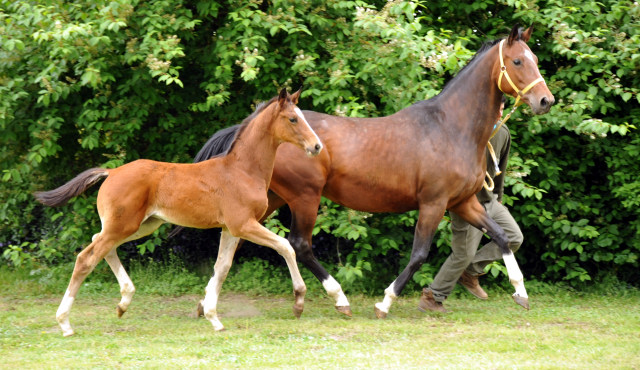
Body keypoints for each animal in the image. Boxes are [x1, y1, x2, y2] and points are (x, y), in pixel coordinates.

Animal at [33, 89, 322, 336]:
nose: (317, 146)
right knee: (86, 258)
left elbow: (222, 267)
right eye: (293, 119)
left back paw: (123, 302)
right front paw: (298, 301)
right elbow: (285, 246)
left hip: (140, 225)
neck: (242, 170)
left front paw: (213, 318)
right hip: (123, 226)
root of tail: (111, 172)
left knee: (99, 244)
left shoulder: (230, 229)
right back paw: (65, 323)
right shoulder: (243, 224)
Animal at [194, 24, 556, 316]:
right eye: (518, 61)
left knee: (236, 238)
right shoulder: (433, 204)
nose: (545, 101)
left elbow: (502, 238)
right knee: (299, 244)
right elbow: (419, 254)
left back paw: (205, 303)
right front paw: (385, 303)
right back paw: (338, 298)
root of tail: (259, 126)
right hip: (304, 197)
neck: (451, 127)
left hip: (272, 198)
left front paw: (520, 293)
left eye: (535, 58)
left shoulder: (463, 203)